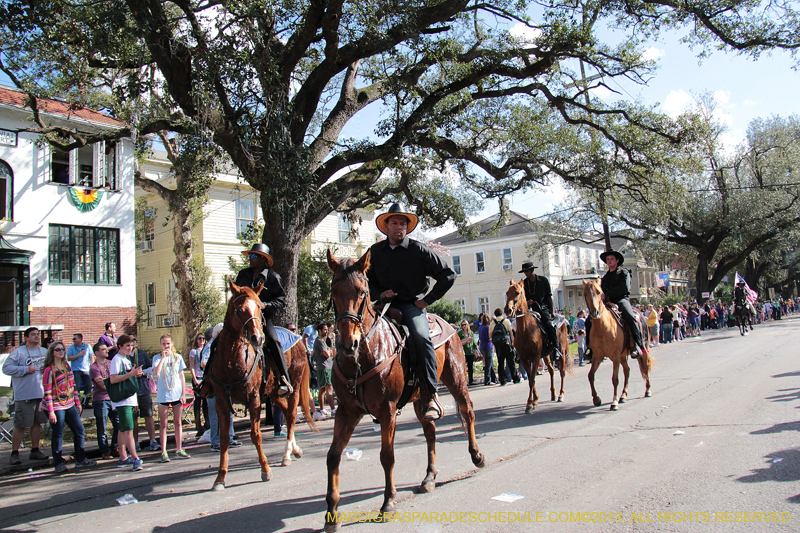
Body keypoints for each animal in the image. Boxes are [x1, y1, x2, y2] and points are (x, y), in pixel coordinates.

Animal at [200, 280, 316, 488]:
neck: (232, 361)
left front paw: (265, 469)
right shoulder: (221, 402)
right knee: (286, 412)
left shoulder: (253, 399)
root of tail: (298, 340)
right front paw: (220, 477)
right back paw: (295, 450)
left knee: (291, 415)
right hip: (274, 393)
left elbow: (256, 435)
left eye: (260, 307)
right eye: (239, 309)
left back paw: (287, 454)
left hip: (293, 387)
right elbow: (224, 438)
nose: (258, 338)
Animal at [322, 250, 484, 532]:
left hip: (456, 380)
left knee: (468, 412)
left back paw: (476, 456)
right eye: (334, 291)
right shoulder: (346, 411)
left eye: (362, 292)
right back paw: (429, 477)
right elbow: (333, 456)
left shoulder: (387, 411)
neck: (364, 355)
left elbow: (387, 456)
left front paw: (388, 502)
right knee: (430, 432)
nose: (348, 343)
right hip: (421, 399)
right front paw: (331, 512)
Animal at [504, 276, 572, 414]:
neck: (525, 329)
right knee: (551, 370)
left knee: (562, 372)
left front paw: (530, 404)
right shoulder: (524, 359)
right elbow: (531, 377)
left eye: (518, 293)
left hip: (561, 351)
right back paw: (553, 394)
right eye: (507, 293)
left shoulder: (535, 358)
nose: (508, 310)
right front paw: (534, 401)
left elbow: (532, 379)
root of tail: (563, 318)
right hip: (546, 355)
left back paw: (561, 395)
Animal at [584, 276, 652, 410]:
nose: (594, 312)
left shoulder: (615, 357)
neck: (602, 328)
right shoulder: (597, 357)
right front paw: (596, 399)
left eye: (599, 292)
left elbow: (615, 379)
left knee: (645, 367)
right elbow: (590, 376)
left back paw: (647, 390)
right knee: (627, 370)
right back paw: (624, 395)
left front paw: (614, 402)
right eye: (585, 294)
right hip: (622, 355)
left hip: (643, 348)